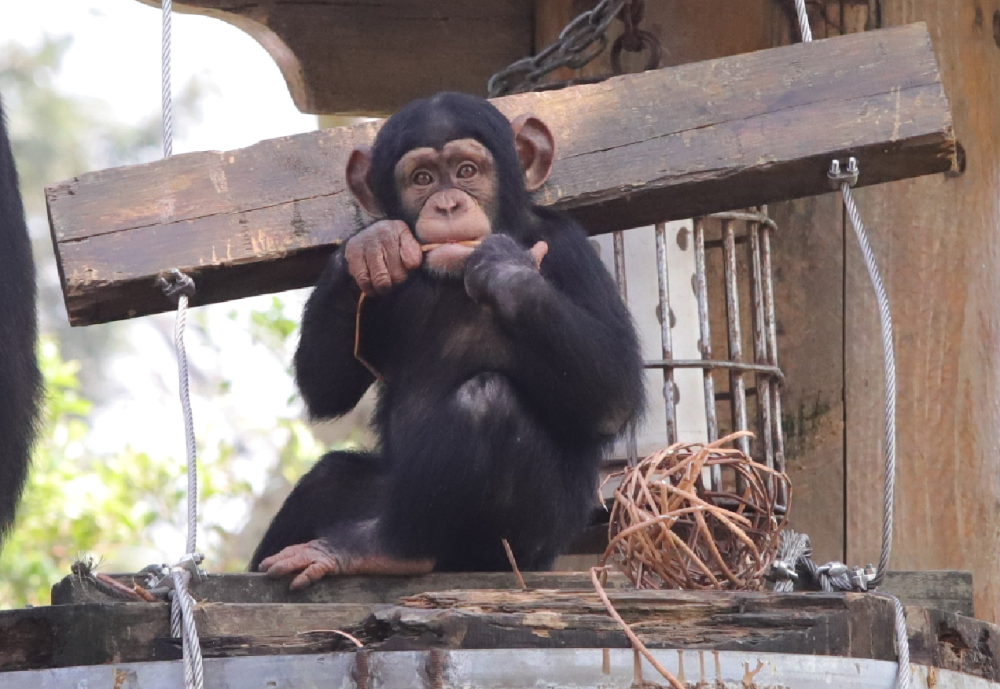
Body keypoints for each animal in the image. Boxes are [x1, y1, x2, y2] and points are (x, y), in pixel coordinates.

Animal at [247, 90, 644, 584]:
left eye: (467, 171)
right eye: (423, 178)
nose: (448, 204)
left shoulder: (571, 250)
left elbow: (614, 393)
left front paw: (504, 266)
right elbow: (326, 387)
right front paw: (370, 246)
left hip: (512, 549)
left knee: (488, 400)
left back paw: (381, 549)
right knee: (329, 478)